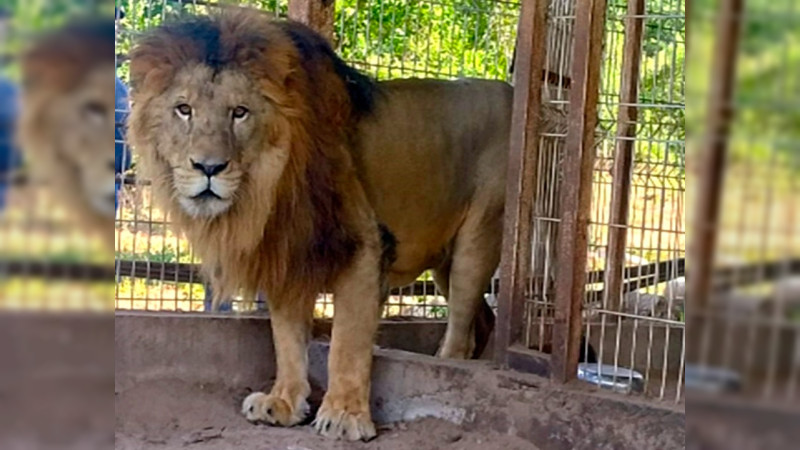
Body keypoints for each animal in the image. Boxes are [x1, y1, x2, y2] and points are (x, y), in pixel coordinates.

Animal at [128, 8, 564, 442]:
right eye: (184, 109)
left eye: (239, 112)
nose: (208, 167)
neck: (267, 190)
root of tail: (514, 94)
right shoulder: (288, 250)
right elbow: (286, 338)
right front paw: (283, 402)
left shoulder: (365, 246)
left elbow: (347, 341)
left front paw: (344, 415)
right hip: (445, 259)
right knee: (482, 320)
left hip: (480, 237)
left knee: (460, 326)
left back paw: (447, 366)